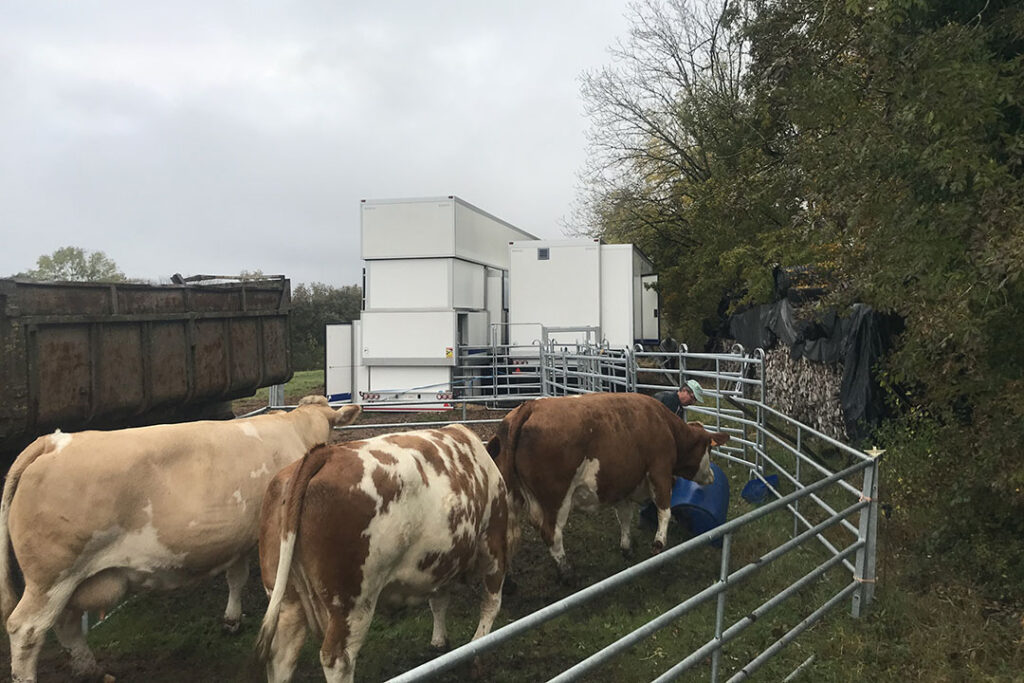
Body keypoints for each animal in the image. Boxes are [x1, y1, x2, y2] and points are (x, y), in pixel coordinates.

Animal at [0, 395, 360, 683]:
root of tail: (52, 441)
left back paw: (91, 670)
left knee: (66, 624)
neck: (297, 428)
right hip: (51, 577)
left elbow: (235, 577)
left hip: (67, 582)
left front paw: (231, 619)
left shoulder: (238, 537)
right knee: (26, 630)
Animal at [254, 423, 512, 679]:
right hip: (352, 602)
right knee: (337, 659)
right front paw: (478, 651)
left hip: (287, 598)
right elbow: (491, 603)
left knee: (281, 655)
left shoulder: (442, 559)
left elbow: (438, 600)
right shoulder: (494, 541)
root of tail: (324, 454)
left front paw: (440, 643)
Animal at [485, 393, 729, 581]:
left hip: (509, 496)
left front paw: (627, 547)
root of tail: (529, 407)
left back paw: (508, 579)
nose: (712, 476)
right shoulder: (660, 470)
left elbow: (625, 516)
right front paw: (659, 544)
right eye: (709, 448)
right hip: (555, 498)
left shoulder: (624, 483)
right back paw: (566, 571)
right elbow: (664, 510)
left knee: (507, 534)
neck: (665, 424)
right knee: (551, 533)